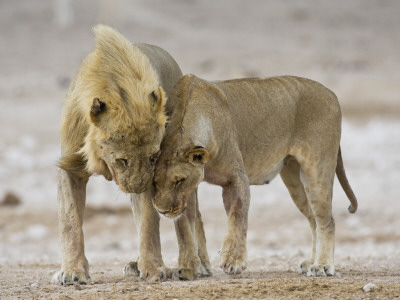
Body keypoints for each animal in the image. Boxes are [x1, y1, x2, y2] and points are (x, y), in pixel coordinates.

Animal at [52, 27, 212, 284]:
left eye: (153, 157)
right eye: (122, 159)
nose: (138, 187)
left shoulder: (154, 176)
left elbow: (149, 223)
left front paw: (155, 269)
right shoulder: (70, 166)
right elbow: (70, 220)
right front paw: (73, 272)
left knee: (190, 215)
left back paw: (198, 265)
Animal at [152, 74, 358, 278]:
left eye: (179, 181)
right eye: (154, 182)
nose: (162, 211)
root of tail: (331, 93)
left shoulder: (236, 178)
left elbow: (237, 217)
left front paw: (233, 261)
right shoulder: (189, 191)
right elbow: (184, 227)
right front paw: (186, 267)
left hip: (316, 169)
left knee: (326, 221)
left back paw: (322, 265)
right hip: (295, 181)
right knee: (313, 220)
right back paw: (311, 262)